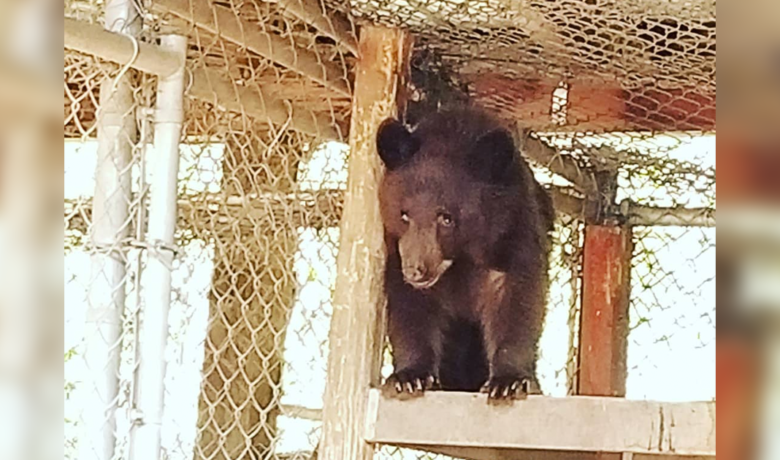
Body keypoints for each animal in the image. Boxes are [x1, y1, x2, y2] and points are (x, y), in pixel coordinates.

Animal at [375, 105, 555, 403]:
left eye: (446, 218)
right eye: (404, 214)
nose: (416, 269)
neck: (462, 258)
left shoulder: (514, 230)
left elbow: (518, 299)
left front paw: (508, 381)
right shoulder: (396, 249)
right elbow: (409, 307)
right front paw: (408, 377)